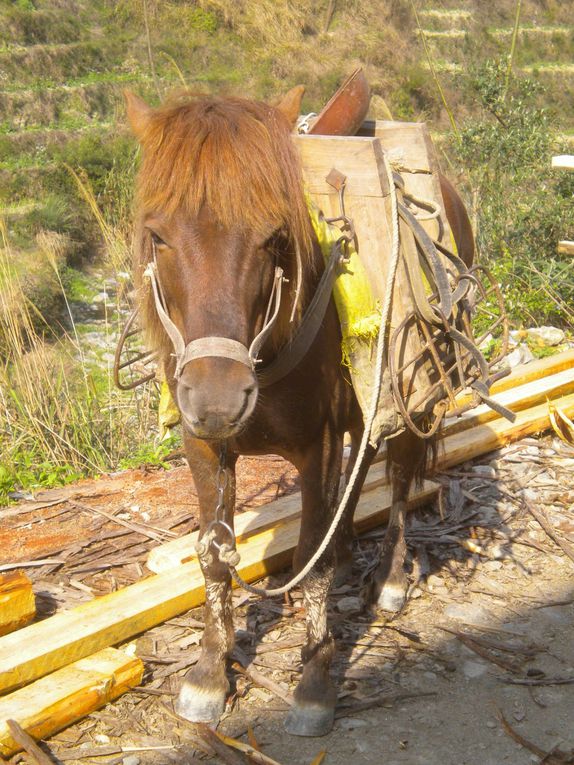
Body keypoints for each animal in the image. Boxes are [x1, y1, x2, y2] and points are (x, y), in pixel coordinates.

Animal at [126, 88, 468, 736]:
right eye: (157, 236)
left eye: (273, 237)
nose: (218, 397)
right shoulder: (203, 445)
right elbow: (212, 554)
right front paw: (209, 673)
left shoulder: (316, 444)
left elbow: (312, 542)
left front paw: (313, 679)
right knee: (362, 465)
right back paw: (349, 548)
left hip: (413, 383)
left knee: (400, 471)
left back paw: (388, 576)